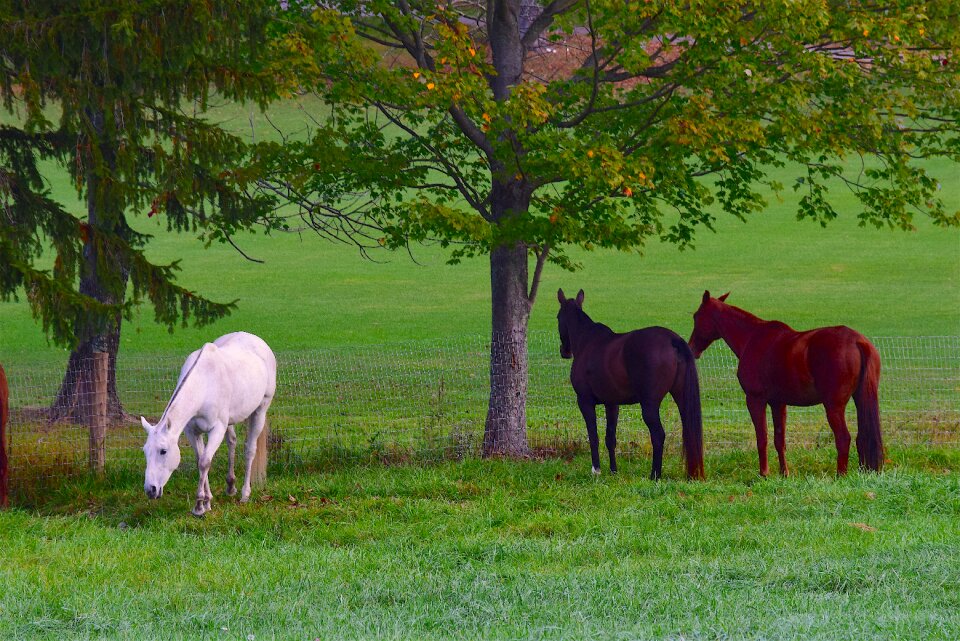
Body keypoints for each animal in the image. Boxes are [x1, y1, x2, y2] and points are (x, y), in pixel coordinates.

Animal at [142, 330, 278, 516]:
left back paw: (245, 494)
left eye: (163, 451)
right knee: (232, 442)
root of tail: (257, 340)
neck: (204, 384)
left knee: (250, 450)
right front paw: (207, 502)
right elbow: (200, 460)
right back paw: (231, 486)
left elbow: (205, 462)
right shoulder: (192, 431)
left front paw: (199, 505)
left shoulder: (217, 429)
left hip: (260, 410)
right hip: (231, 421)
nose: (150, 490)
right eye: (145, 451)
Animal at [556, 288, 704, 478]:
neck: (587, 341)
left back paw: (654, 475)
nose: (564, 351)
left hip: (649, 404)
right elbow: (610, 438)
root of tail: (673, 339)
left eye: (557, 317)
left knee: (658, 434)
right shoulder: (612, 404)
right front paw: (613, 470)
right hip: (681, 396)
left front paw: (596, 470)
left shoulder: (585, 401)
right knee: (689, 431)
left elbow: (593, 436)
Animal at [688, 290, 880, 476]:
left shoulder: (755, 400)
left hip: (833, 406)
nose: (691, 348)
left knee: (843, 438)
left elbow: (762, 437)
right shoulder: (778, 403)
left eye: (697, 316)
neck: (752, 338)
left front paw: (764, 473)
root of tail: (857, 341)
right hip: (859, 399)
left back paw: (840, 475)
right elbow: (779, 439)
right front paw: (784, 473)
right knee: (862, 437)